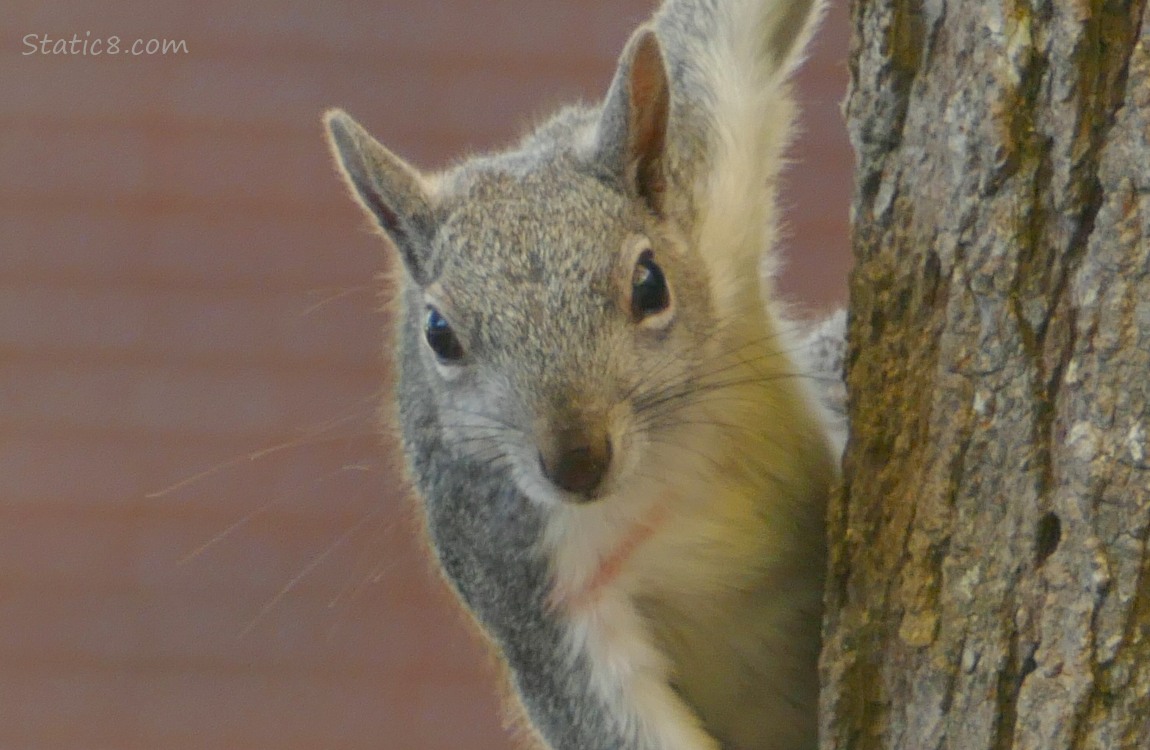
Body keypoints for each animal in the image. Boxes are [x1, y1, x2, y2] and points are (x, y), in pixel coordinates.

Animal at [324, 1, 846, 750]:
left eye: (651, 283)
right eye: (439, 334)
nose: (576, 462)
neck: (663, 456)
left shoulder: (710, 164)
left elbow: (734, 23)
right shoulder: (531, 584)